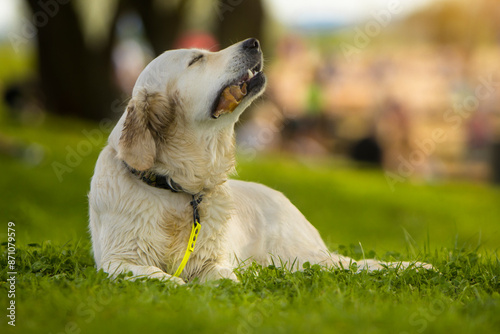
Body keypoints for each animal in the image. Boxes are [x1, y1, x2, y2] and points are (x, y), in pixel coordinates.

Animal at [88, 39, 432, 284]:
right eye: (196, 59)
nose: (252, 42)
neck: (176, 186)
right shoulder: (116, 261)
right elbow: (160, 277)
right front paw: (177, 285)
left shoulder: (214, 261)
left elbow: (224, 277)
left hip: (303, 257)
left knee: (352, 266)